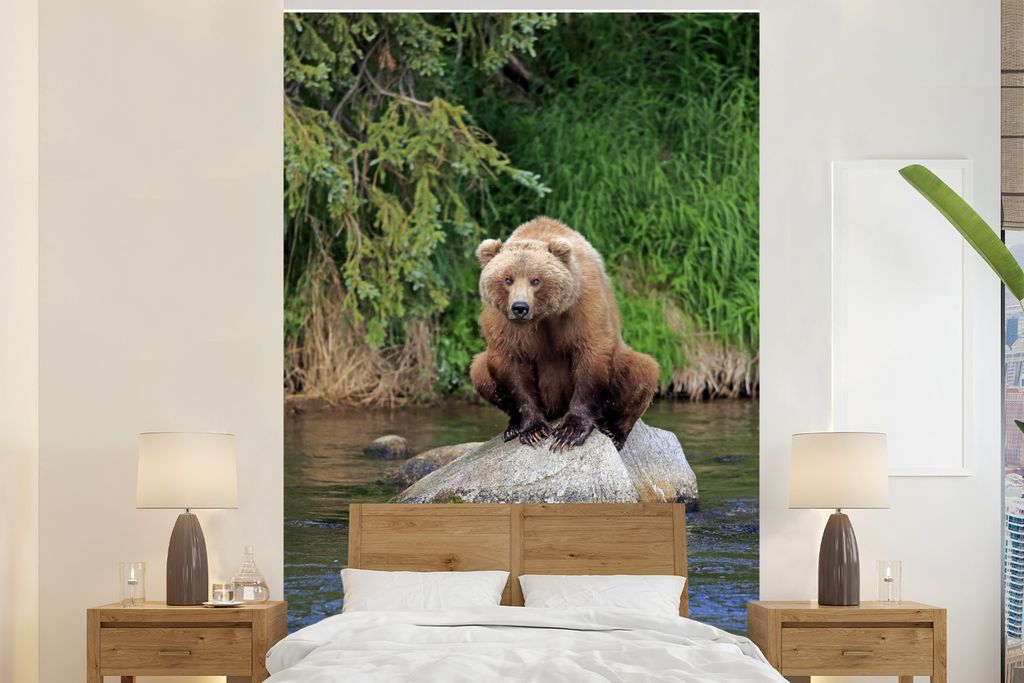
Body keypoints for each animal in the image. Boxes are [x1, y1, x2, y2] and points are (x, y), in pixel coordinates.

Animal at [469, 217, 660, 451]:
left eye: (536, 280)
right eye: (508, 279)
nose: (520, 307)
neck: (544, 316)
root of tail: (555, 410)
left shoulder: (582, 303)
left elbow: (592, 353)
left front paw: (570, 432)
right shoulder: (503, 321)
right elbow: (510, 362)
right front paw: (533, 430)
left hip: (621, 366)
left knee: (642, 371)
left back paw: (613, 430)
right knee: (479, 370)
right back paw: (512, 427)